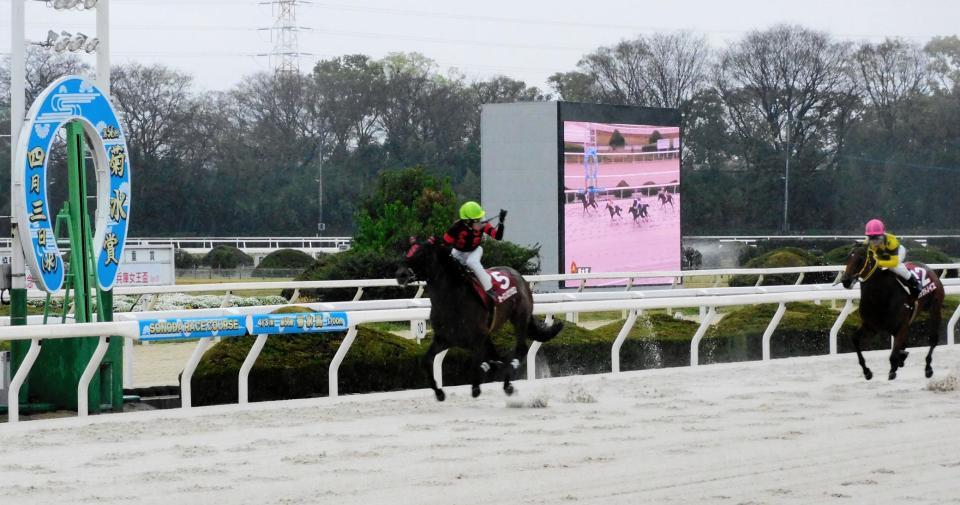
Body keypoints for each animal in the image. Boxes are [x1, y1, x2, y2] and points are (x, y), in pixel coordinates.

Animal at [396, 237, 564, 402]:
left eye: (422, 254)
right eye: (408, 252)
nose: (400, 274)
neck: (452, 299)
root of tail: (518, 275)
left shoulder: (479, 338)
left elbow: (475, 364)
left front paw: (476, 387)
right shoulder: (444, 339)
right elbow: (426, 361)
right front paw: (439, 392)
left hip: (520, 317)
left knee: (520, 349)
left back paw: (507, 384)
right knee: (499, 356)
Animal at [840, 243, 944, 378]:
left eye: (861, 259)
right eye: (848, 257)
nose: (845, 280)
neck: (880, 297)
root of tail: (929, 269)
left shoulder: (901, 326)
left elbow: (893, 356)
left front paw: (893, 369)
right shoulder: (871, 326)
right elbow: (855, 340)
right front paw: (867, 371)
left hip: (935, 308)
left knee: (933, 339)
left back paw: (928, 367)